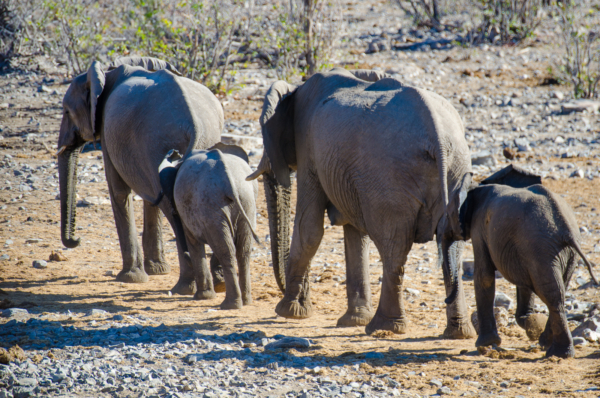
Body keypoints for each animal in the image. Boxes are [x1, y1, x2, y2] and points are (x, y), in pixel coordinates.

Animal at [56, 55, 224, 292]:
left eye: (66, 112)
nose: (77, 240)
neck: (108, 73)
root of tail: (195, 127)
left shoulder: (108, 132)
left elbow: (119, 192)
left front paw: (130, 278)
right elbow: (150, 200)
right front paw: (157, 271)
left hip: (156, 142)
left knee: (172, 209)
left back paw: (185, 287)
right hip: (198, 143)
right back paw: (218, 283)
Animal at [151, 145, 258, 310]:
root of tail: (228, 179)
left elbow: (193, 242)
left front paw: (202, 297)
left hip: (210, 204)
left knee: (226, 251)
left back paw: (230, 304)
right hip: (246, 202)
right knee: (243, 251)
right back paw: (245, 301)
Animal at [246, 67, 476, 338]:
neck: (296, 91)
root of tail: (438, 138)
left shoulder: (308, 148)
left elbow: (309, 227)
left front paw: (288, 312)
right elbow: (356, 234)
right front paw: (351, 320)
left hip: (391, 179)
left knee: (394, 246)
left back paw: (382, 327)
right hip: (456, 171)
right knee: (451, 247)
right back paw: (458, 333)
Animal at [454, 165, 596, 358]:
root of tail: (566, 229)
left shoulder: (479, 228)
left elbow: (484, 276)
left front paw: (485, 344)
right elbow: (522, 282)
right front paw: (530, 322)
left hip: (541, 248)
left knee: (552, 294)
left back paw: (556, 352)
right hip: (559, 252)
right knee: (558, 289)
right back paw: (549, 345)